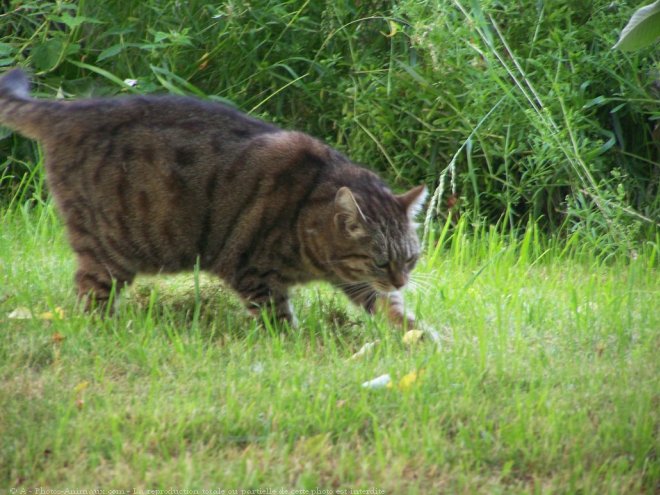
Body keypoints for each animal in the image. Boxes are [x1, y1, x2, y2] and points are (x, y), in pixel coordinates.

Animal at [0, 69, 428, 330]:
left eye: (410, 259)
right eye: (381, 260)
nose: (402, 280)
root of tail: (69, 110)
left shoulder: (359, 283)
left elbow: (392, 310)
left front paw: (421, 338)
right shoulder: (252, 271)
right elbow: (278, 318)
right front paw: (294, 345)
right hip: (109, 250)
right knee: (89, 294)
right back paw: (103, 330)